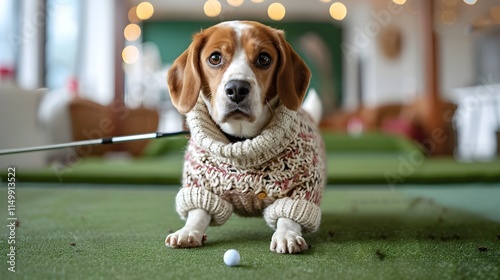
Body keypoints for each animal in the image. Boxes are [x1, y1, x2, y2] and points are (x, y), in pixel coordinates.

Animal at [166, 20, 326, 254]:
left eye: (264, 58)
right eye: (215, 58)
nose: (237, 88)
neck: (241, 141)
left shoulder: (303, 187)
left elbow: (289, 215)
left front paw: (286, 234)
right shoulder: (201, 186)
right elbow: (198, 213)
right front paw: (188, 231)